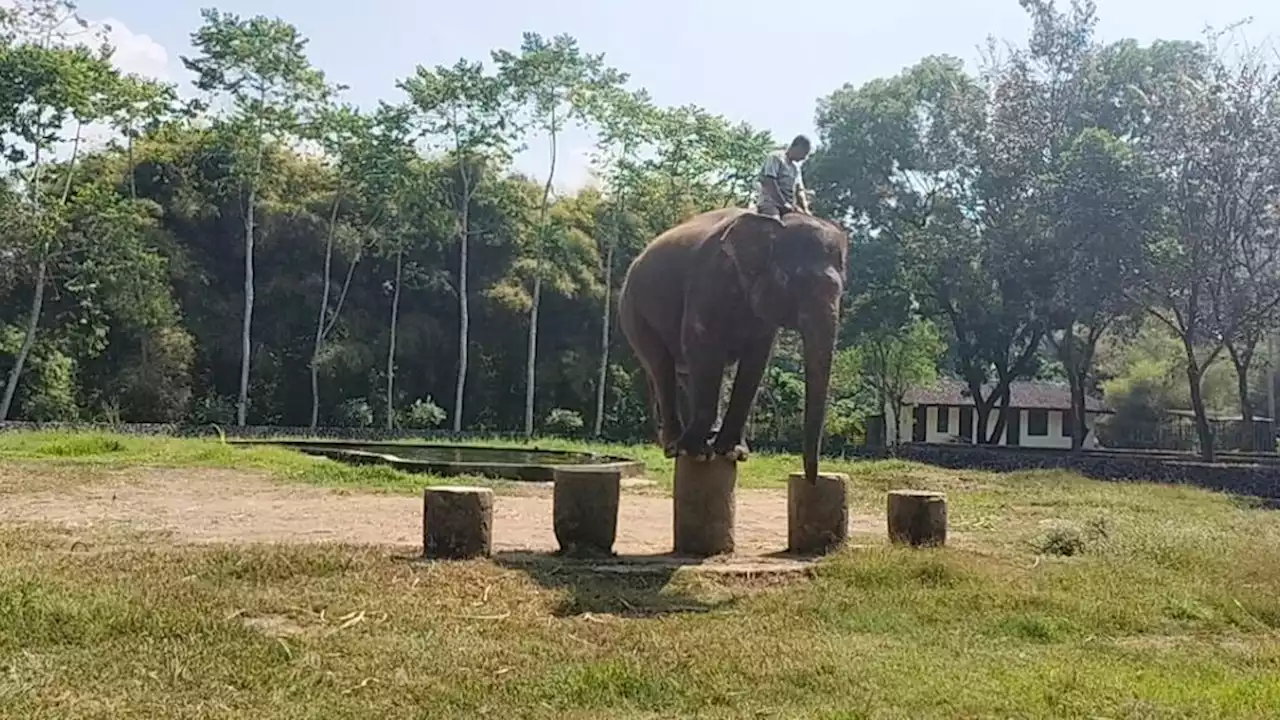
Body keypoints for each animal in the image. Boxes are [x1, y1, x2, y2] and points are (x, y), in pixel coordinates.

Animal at [619, 206, 849, 481]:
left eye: (841, 289)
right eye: (797, 283)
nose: (811, 479)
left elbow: (755, 361)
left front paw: (732, 452)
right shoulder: (708, 284)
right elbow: (703, 349)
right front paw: (698, 453)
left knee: (687, 373)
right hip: (633, 310)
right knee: (661, 365)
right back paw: (676, 447)